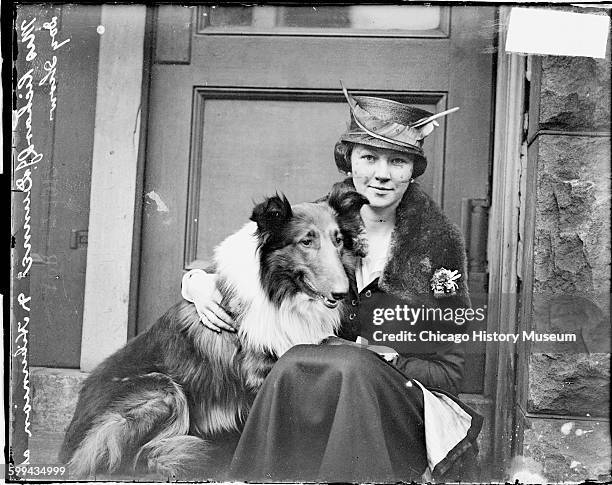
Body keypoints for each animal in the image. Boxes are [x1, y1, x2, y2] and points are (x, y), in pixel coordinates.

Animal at [59, 184, 368, 476]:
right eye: (306, 241)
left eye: (338, 240)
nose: (342, 293)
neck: (278, 292)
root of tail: (67, 447)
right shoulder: (261, 370)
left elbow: (344, 344)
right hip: (163, 390)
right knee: (136, 457)